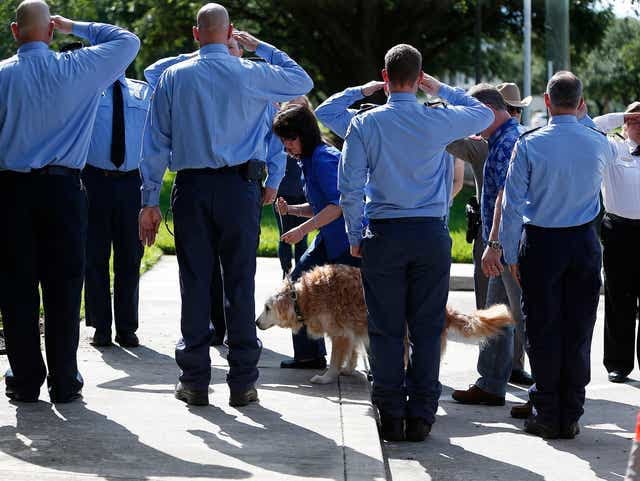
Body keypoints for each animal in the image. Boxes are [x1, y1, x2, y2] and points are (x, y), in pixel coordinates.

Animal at [256, 262, 516, 382]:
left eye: (267, 308)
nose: (256, 323)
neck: (304, 297)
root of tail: (446, 310)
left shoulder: (340, 334)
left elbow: (335, 360)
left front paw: (327, 377)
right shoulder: (351, 333)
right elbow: (352, 353)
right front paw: (349, 370)